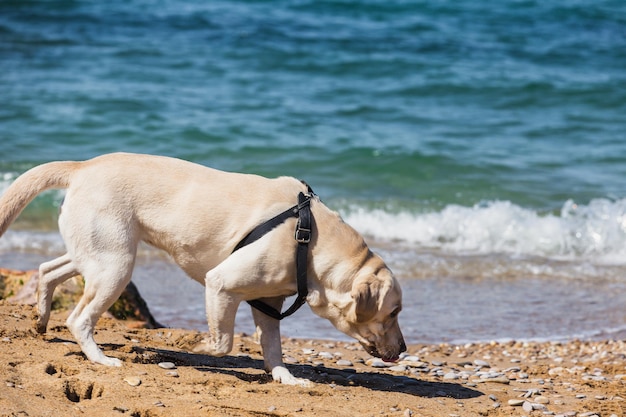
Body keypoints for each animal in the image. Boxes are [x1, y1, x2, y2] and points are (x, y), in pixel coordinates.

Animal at [0, 152, 404, 384]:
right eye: (394, 312)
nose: (402, 349)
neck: (308, 237)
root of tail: (83, 167)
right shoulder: (221, 283)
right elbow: (223, 342)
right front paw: (199, 344)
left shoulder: (269, 304)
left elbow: (273, 347)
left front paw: (284, 377)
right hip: (115, 265)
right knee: (79, 318)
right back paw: (100, 358)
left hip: (99, 254)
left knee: (48, 269)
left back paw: (41, 319)